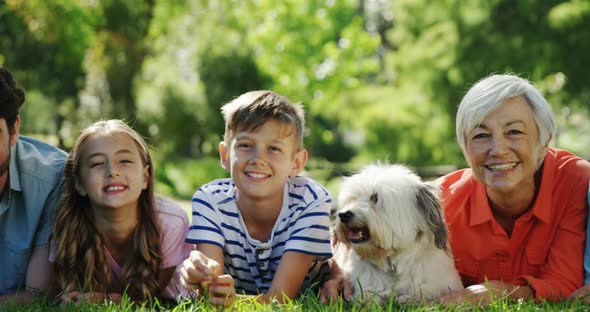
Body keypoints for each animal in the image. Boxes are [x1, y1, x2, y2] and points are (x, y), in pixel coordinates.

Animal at [336, 163, 464, 302]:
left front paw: (407, 297)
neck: (392, 261)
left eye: (375, 197)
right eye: (353, 198)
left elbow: (424, 291)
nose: (343, 215)